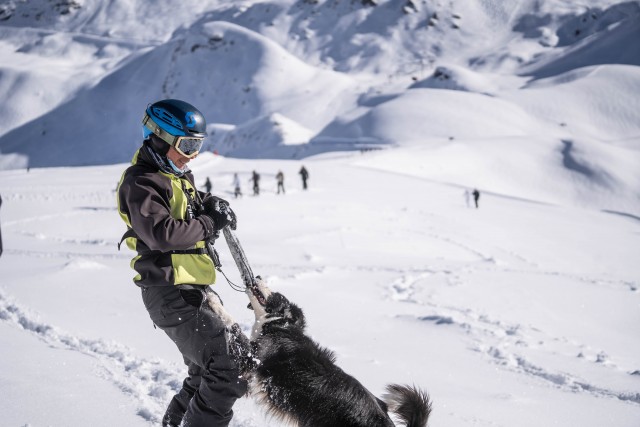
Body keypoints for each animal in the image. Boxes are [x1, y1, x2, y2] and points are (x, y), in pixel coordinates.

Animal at [208, 280, 432, 426]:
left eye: (277, 294)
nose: (257, 277)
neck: (281, 326)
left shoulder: (252, 357)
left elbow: (232, 323)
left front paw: (212, 300)